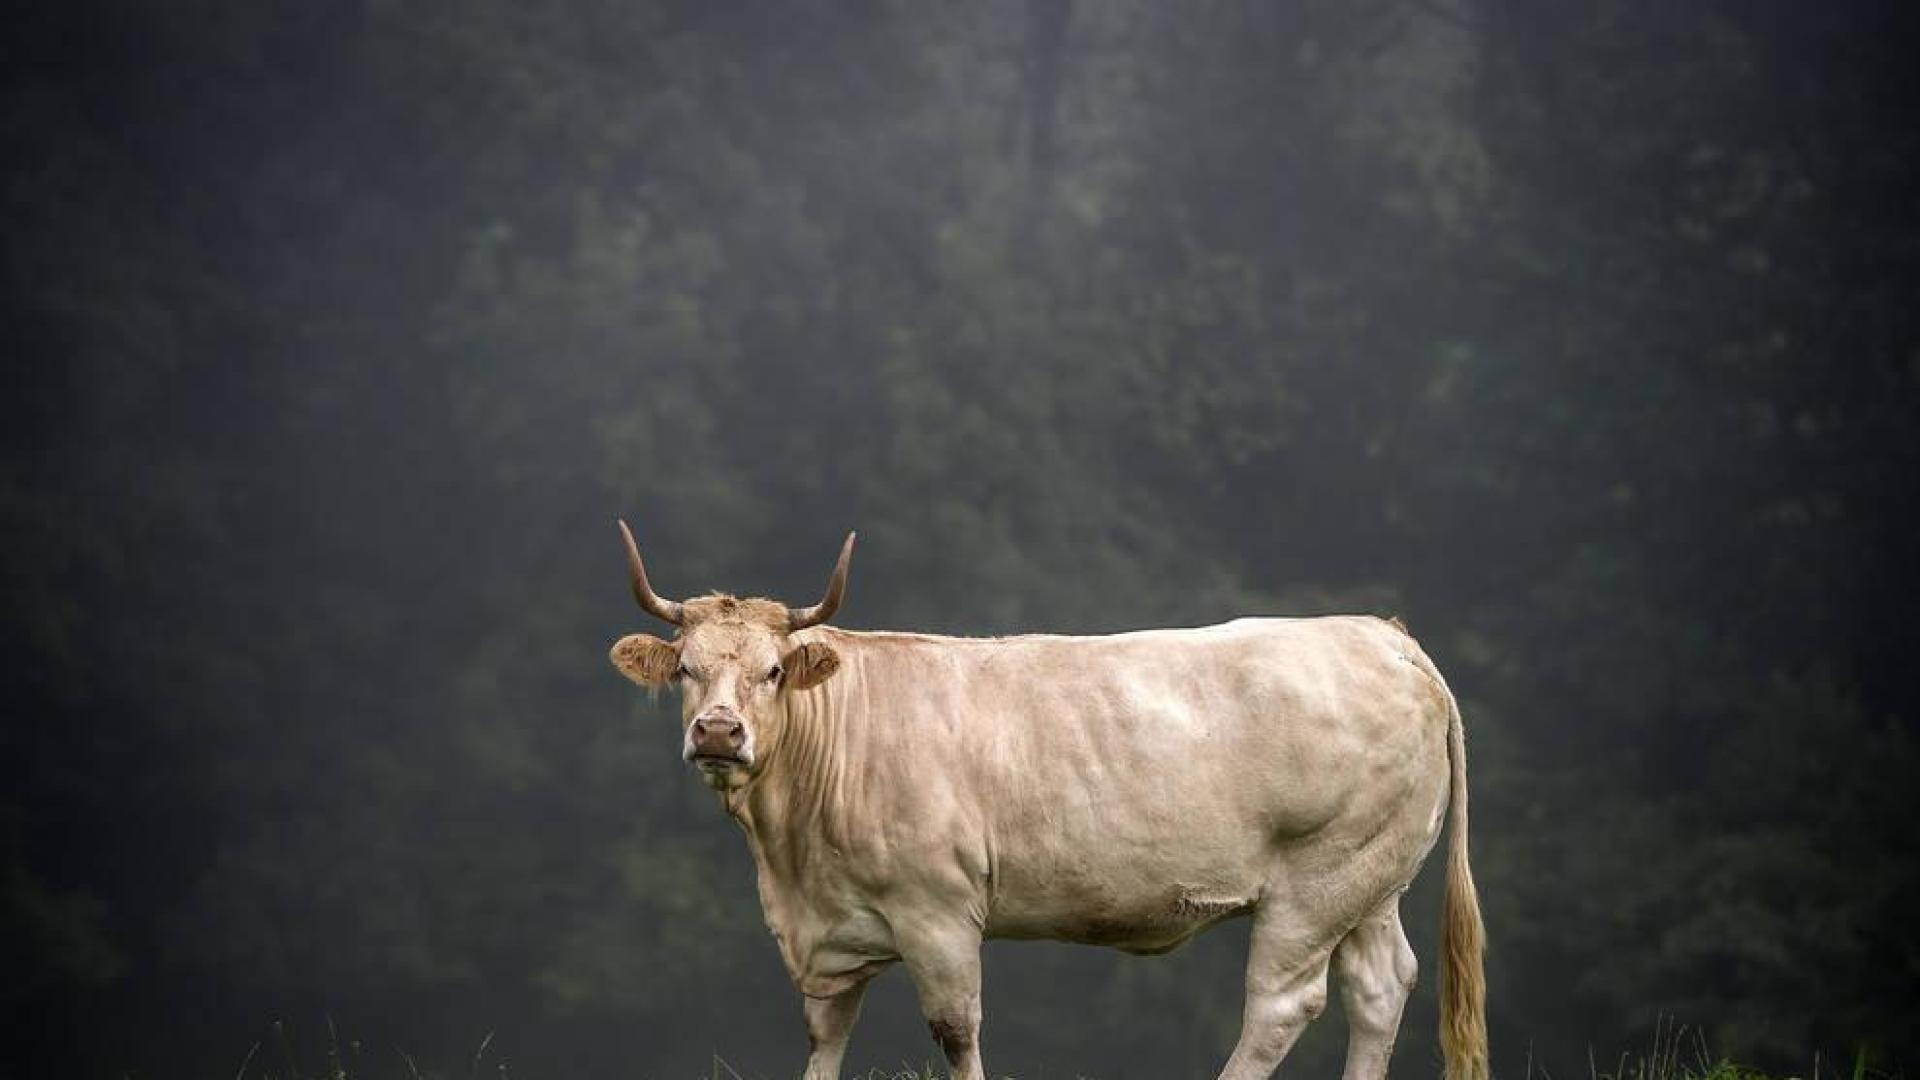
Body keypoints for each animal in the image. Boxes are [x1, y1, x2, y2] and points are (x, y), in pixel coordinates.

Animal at [606, 521, 1487, 1080]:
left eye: (773, 672)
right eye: (687, 670)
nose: (720, 733)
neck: (790, 861)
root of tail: (1380, 635)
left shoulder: (936, 911)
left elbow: (956, 1033)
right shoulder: (832, 932)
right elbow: (826, 1036)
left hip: (1317, 881)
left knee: (1281, 1005)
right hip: (1371, 879)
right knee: (1380, 988)